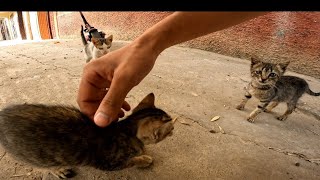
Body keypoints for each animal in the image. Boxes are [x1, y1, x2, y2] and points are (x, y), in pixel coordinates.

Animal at [0, 93, 174, 179]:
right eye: (170, 129)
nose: (173, 129)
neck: (124, 130)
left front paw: (144, 153)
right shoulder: (108, 164)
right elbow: (131, 161)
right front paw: (143, 159)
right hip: (34, 156)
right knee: (40, 165)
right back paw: (58, 170)